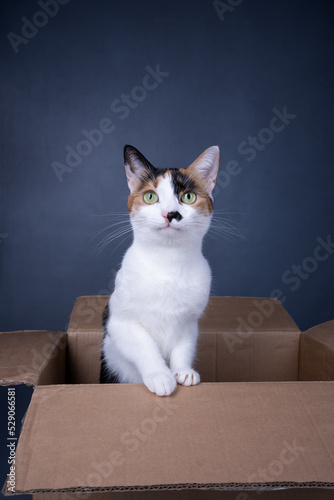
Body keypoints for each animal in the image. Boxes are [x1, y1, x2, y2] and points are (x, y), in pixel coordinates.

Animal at [100, 144, 220, 394]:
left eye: (188, 197)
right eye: (150, 196)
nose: (171, 214)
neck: (169, 262)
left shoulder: (189, 322)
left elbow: (184, 347)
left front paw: (183, 371)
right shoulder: (119, 322)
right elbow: (144, 346)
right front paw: (160, 375)